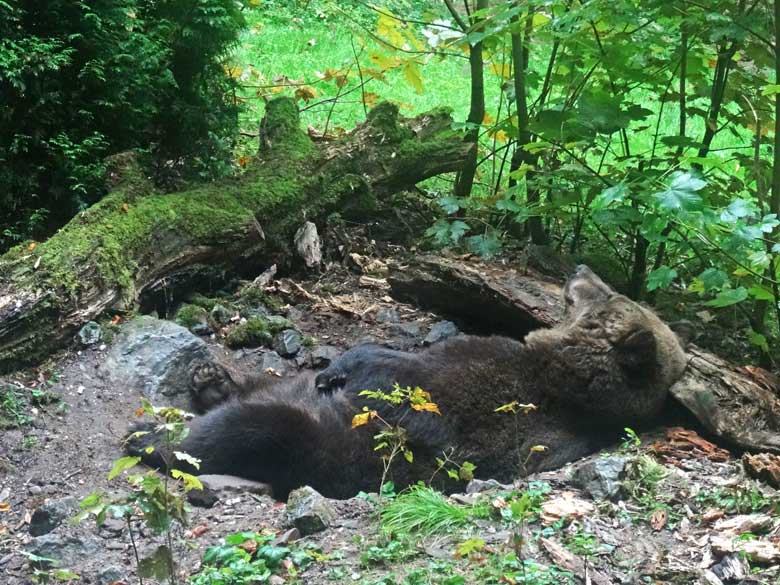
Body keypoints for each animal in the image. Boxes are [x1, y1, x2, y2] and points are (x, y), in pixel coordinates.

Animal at [126, 264, 688, 498]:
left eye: (608, 294)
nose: (582, 266)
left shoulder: (472, 386)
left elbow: (404, 384)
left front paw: (346, 370)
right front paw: (335, 366)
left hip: (311, 441)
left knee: (248, 427)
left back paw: (149, 437)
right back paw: (210, 379)